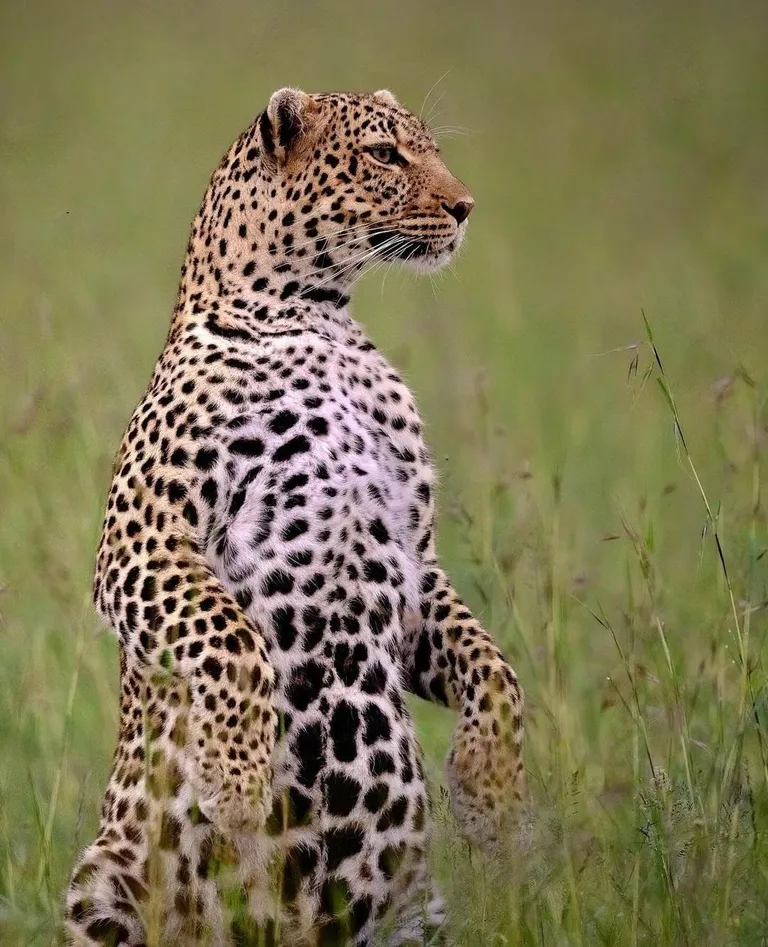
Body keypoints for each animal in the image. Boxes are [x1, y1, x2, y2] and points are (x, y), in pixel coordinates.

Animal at [65, 87, 524, 947]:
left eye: (431, 147)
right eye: (384, 154)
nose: (467, 206)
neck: (318, 317)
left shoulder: (417, 554)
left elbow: (494, 666)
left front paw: (493, 788)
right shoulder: (143, 537)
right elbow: (229, 637)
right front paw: (236, 783)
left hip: (417, 910)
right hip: (97, 879)